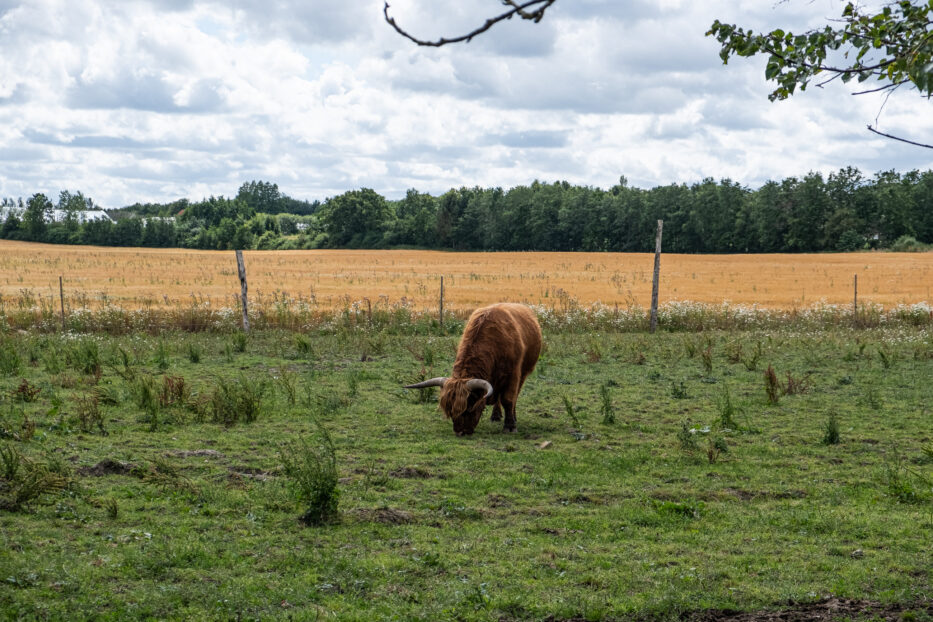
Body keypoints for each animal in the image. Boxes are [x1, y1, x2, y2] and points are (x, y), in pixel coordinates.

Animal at [404, 304, 544, 436]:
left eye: (469, 406)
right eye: (450, 410)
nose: (460, 432)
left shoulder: (513, 375)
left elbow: (508, 399)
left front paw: (510, 426)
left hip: (524, 373)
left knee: (514, 396)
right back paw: (495, 416)